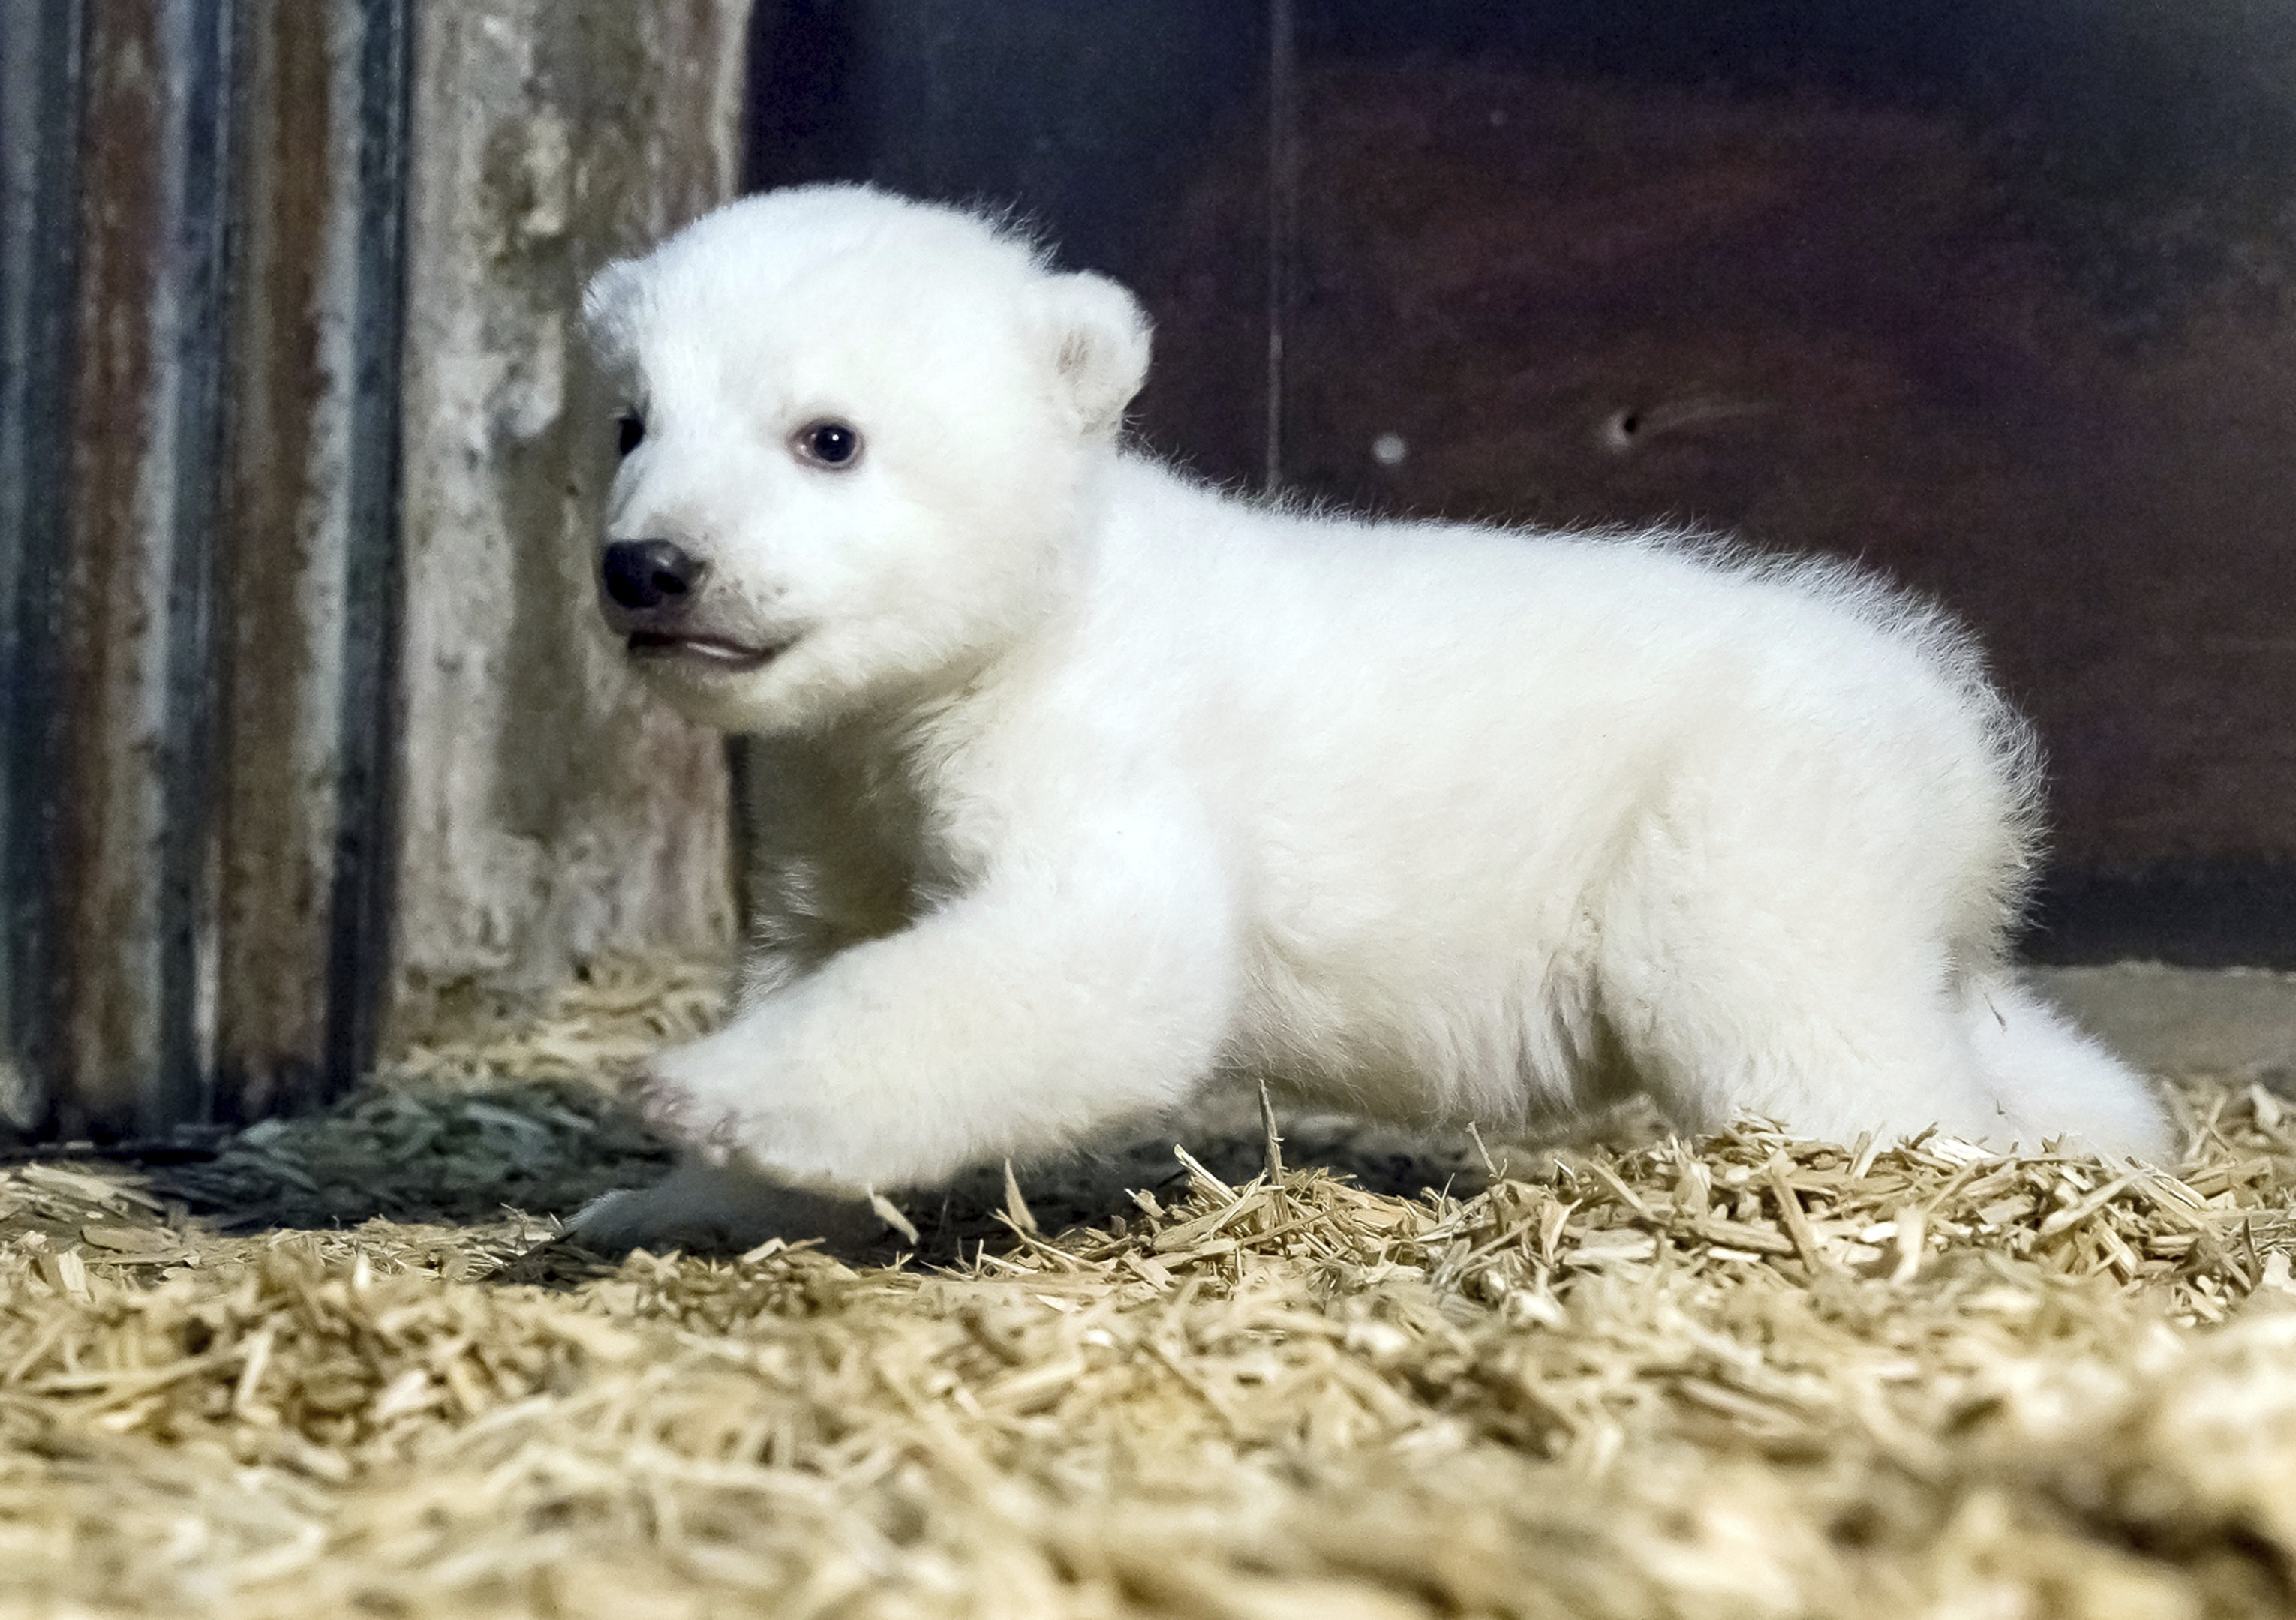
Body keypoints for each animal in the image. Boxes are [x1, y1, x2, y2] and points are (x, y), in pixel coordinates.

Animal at [569, 183, 2170, 1253]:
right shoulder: (835, 782)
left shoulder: (1097, 734)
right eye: (632, 420)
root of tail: (1964, 738)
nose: (649, 565)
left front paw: (689, 1087)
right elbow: (818, 939)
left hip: (1751, 813)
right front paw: (655, 1199)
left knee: (1796, 1029)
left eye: (828, 436)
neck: (1027, 618)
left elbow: (1102, 958)